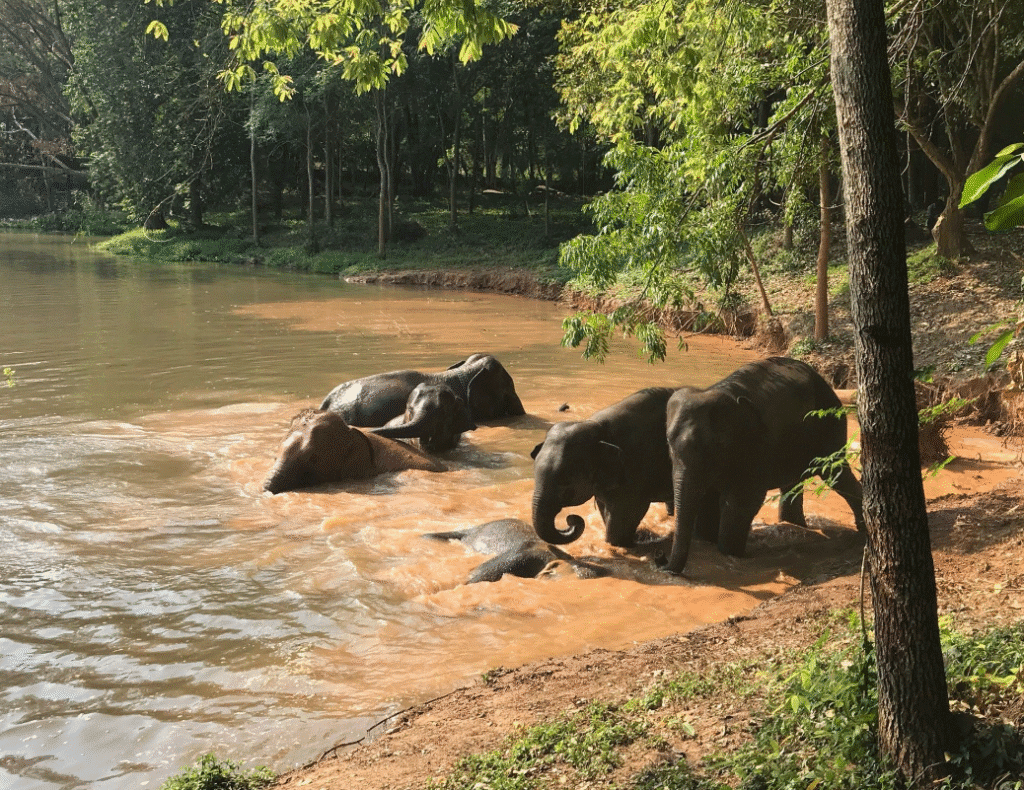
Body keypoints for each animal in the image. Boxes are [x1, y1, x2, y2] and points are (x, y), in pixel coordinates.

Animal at [530, 387, 678, 550]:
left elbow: (626, 513)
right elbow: (605, 508)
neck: (598, 428)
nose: (571, 519)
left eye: (565, 481)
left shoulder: (636, 467)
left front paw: (619, 545)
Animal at [663, 356, 865, 574]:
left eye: (714, 446)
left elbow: (740, 502)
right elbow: (708, 499)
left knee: (836, 474)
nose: (663, 564)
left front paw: (730, 553)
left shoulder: (757, 449)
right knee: (793, 484)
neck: (724, 392)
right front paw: (707, 539)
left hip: (829, 423)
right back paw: (795, 525)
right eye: (668, 443)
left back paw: (862, 532)